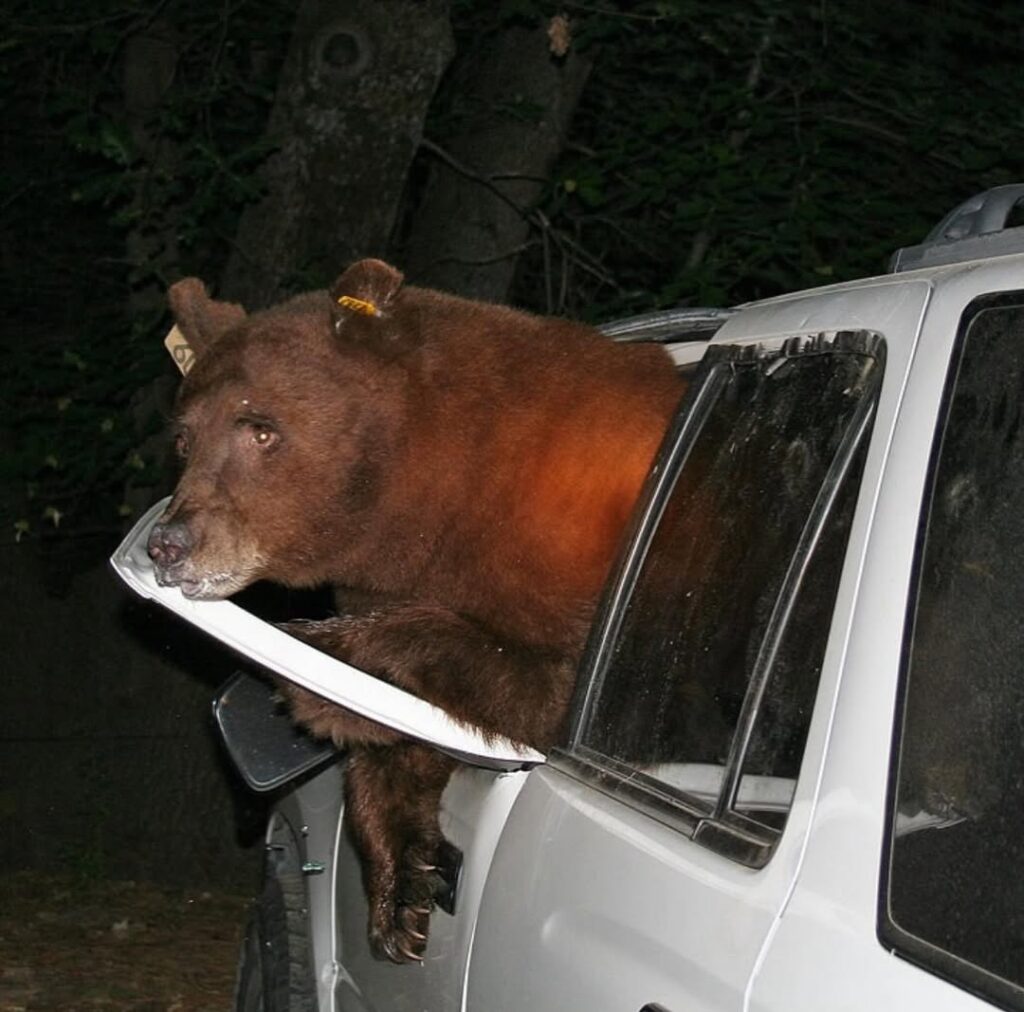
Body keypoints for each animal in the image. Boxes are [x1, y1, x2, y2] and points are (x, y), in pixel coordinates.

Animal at [147, 258, 686, 963]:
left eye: (260, 429)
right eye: (184, 439)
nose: (169, 544)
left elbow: (561, 686)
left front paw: (322, 663)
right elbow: (408, 739)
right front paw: (400, 888)